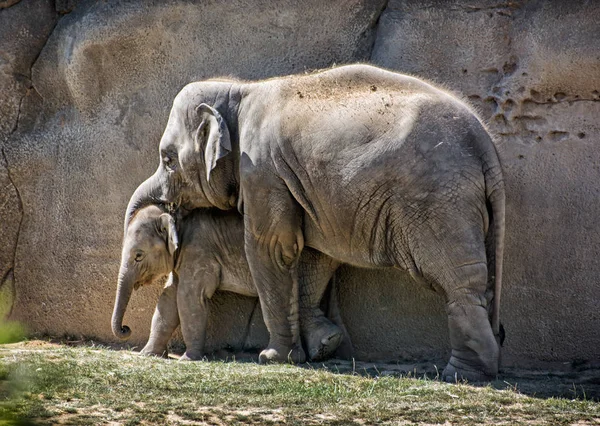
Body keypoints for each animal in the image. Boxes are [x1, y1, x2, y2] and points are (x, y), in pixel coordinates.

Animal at [111, 205, 352, 362]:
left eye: (138, 256)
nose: (126, 328)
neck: (176, 218)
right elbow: (168, 299)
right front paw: (148, 355)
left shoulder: (199, 251)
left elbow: (189, 298)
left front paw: (188, 359)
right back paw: (326, 347)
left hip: (309, 258)